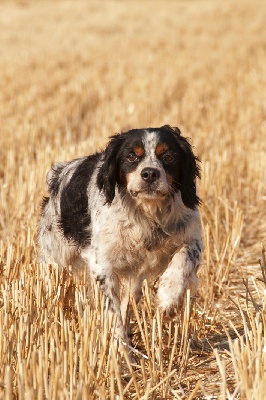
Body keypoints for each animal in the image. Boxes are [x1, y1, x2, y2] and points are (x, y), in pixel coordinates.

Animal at [38, 125, 203, 360]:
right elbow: (112, 311)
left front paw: (169, 299)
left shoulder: (192, 239)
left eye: (169, 156)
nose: (150, 173)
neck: (148, 213)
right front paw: (120, 352)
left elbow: (182, 260)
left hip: (136, 277)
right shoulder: (102, 265)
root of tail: (58, 173)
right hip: (55, 258)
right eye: (131, 156)